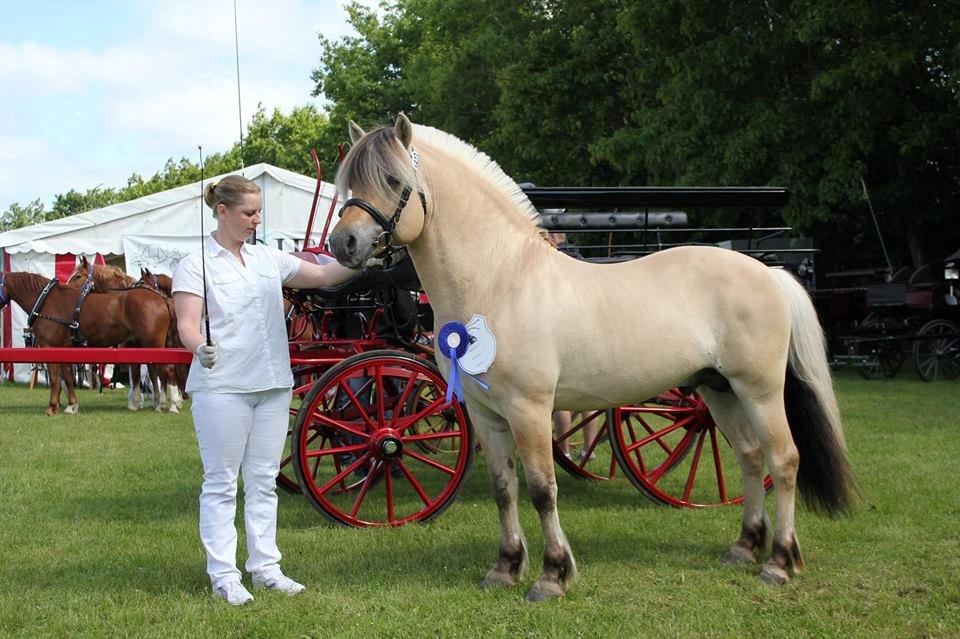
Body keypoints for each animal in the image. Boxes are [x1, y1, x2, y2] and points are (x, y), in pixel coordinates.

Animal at [1, 270, 176, 416]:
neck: (46, 300)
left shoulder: (50, 347)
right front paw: (71, 406)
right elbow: (68, 378)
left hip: (153, 344)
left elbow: (56, 379)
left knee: (167, 371)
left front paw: (52, 407)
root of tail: (161, 298)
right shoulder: (64, 349)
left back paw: (171, 405)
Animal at [330, 115, 856, 600]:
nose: (343, 244)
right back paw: (745, 548)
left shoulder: (530, 410)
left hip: (759, 390)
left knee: (783, 460)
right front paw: (505, 568)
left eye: (394, 181)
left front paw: (552, 576)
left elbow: (542, 490)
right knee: (749, 457)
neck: (501, 280)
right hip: (716, 390)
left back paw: (779, 563)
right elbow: (504, 488)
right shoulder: (486, 415)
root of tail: (770, 273)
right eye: (351, 182)